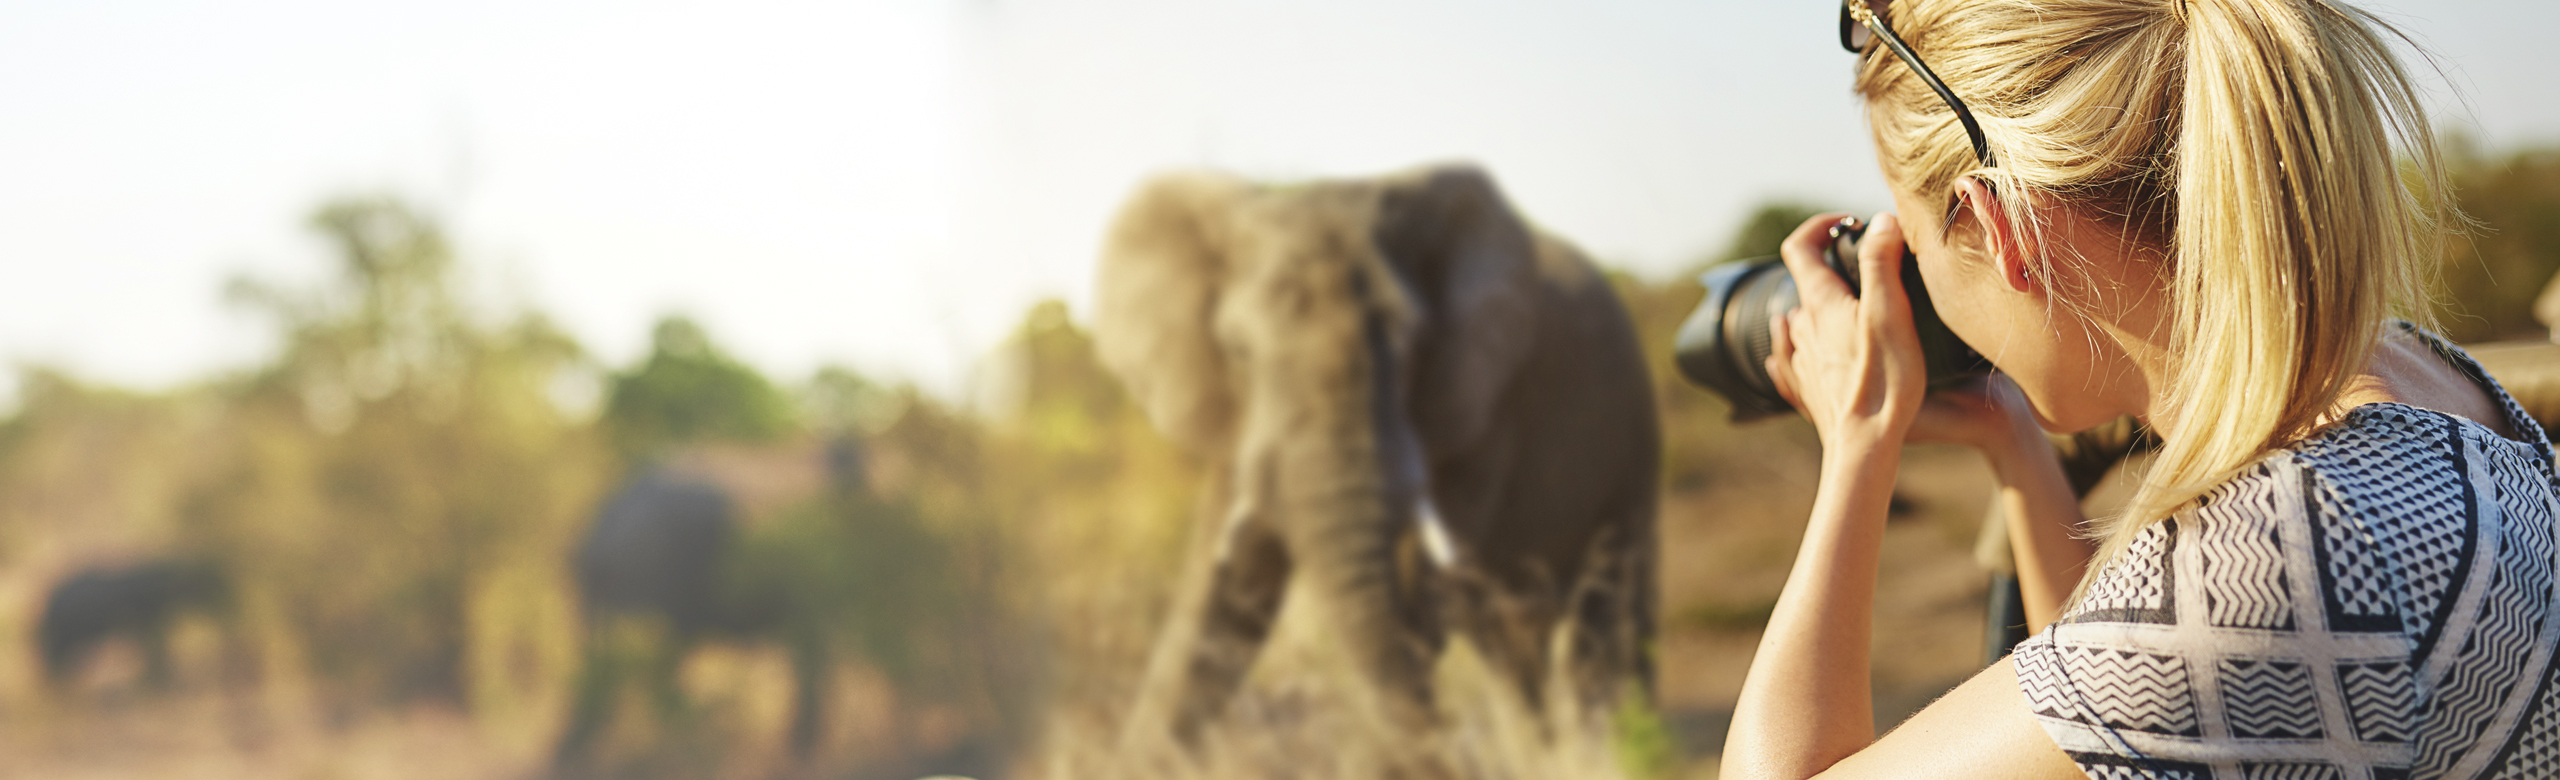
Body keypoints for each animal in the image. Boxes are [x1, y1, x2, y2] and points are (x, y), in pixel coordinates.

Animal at [38, 557, 227, 685]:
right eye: (201, 582)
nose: (220, 593)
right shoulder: (145, 626)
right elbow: (156, 654)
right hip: (63, 643)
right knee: (54, 665)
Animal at [1095, 163, 1658, 741]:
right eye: (1238, 351)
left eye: (1410, 341)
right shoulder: (1240, 423)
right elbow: (1228, 596)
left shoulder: (1482, 414)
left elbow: (1419, 599)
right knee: (1514, 653)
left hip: (1632, 450)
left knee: (1604, 631)